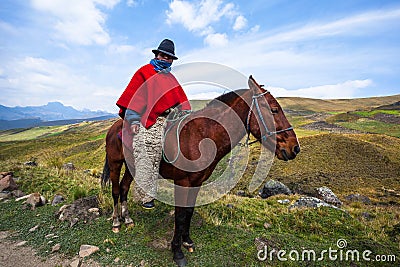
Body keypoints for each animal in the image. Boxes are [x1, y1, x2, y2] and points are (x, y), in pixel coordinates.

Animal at [101, 76, 298, 266]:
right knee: (116, 190)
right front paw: (177, 251)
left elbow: (189, 212)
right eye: (274, 110)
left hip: (133, 166)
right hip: (115, 163)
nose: (295, 148)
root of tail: (114, 128)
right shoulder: (182, 182)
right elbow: (180, 216)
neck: (202, 136)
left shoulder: (197, 182)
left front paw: (187, 241)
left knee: (124, 187)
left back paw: (127, 219)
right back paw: (116, 221)